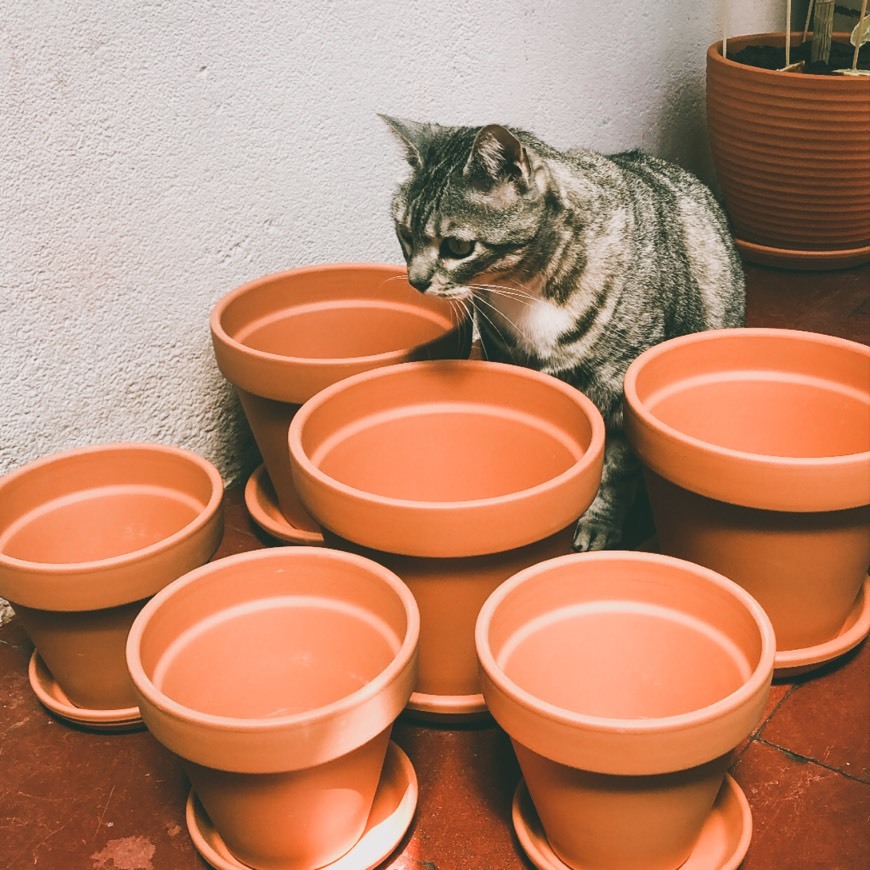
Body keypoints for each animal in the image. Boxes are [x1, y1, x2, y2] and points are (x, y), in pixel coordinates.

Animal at [382, 116, 744, 552]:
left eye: (457, 246)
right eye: (405, 234)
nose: (416, 281)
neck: (525, 288)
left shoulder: (621, 392)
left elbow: (616, 470)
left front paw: (599, 524)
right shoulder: (505, 356)